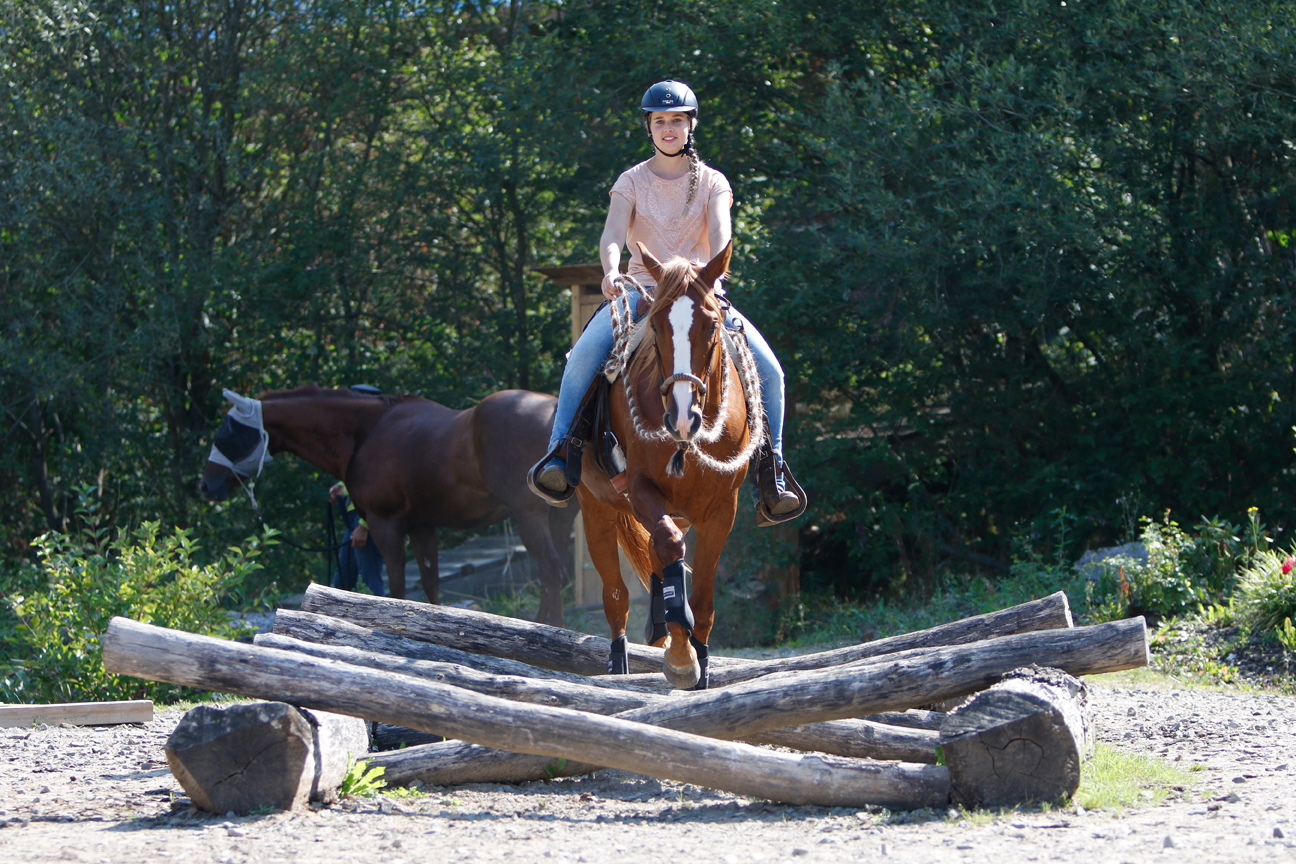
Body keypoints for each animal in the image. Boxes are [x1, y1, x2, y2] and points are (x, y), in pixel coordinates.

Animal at [200, 388, 578, 624]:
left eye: (229, 431)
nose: (206, 486)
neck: (366, 432)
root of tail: (556, 410)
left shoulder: (386, 524)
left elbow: (396, 587)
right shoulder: (421, 526)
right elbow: (429, 583)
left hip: (529, 516)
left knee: (549, 568)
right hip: (558, 518)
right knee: (556, 569)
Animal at [575, 242, 756, 689]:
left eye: (711, 324)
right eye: (656, 326)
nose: (682, 416)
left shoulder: (722, 509)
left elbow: (703, 597)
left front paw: (697, 659)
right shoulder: (639, 489)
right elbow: (671, 550)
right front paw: (680, 657)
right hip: (596, 509)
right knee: (616, 597)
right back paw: (619, 661)